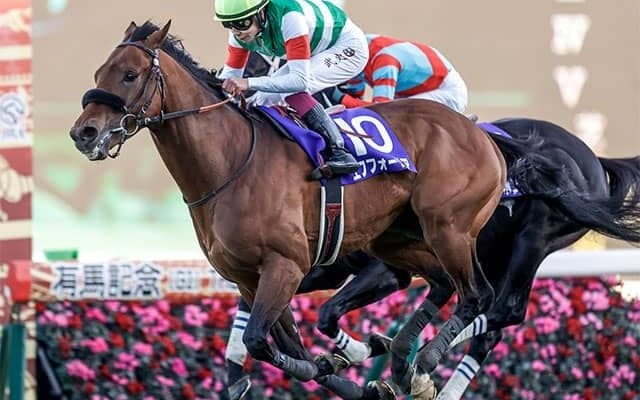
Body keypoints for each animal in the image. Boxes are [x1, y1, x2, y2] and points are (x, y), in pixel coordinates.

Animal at [69, 20, 513, 399]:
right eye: (98, 73)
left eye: (130, 75)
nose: (83, 133)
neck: (231, 163)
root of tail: (480, 133)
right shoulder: (248, 277)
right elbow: (287, 346)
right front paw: (349, 375)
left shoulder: (285, 264)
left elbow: (259, 341)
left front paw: (337, 364)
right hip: (394, 241)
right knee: (441, 283)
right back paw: (405, 365)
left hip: (448, 228)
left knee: (477, 294)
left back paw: (425, 360)